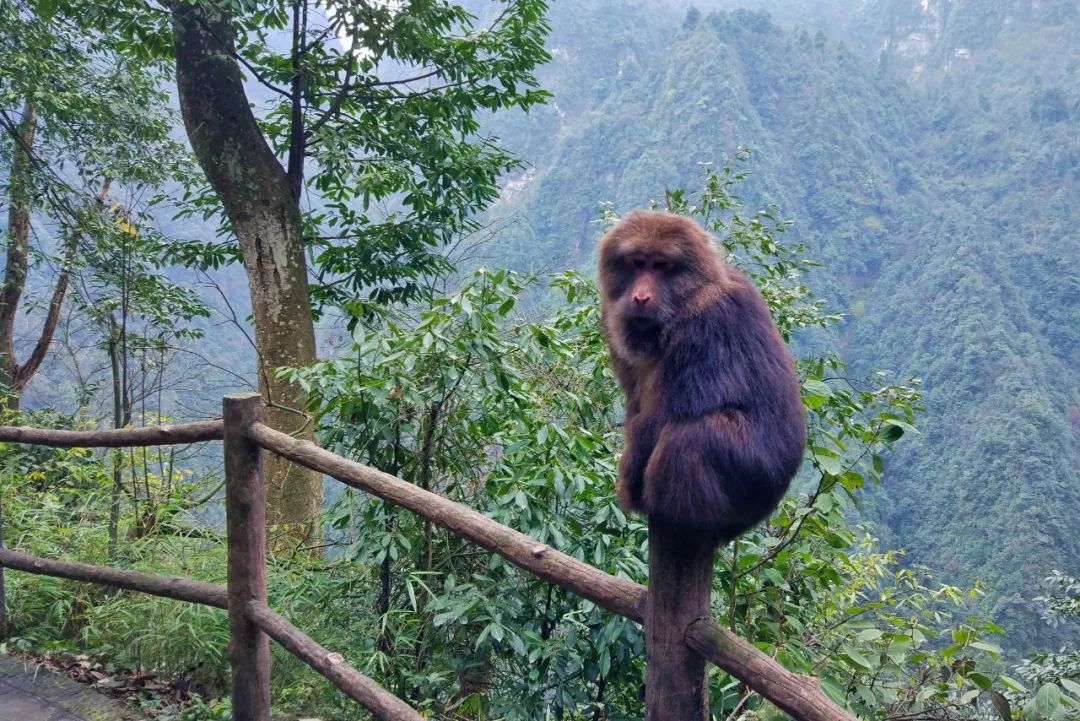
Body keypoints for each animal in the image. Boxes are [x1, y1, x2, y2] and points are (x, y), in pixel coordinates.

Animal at [600, 211, 803, 548]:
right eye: (637, 263)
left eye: (661, 266)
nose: (640, 297)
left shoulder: (705, 324)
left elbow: (669, 413)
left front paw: (630, 484)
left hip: (753, 478)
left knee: (689, 438)